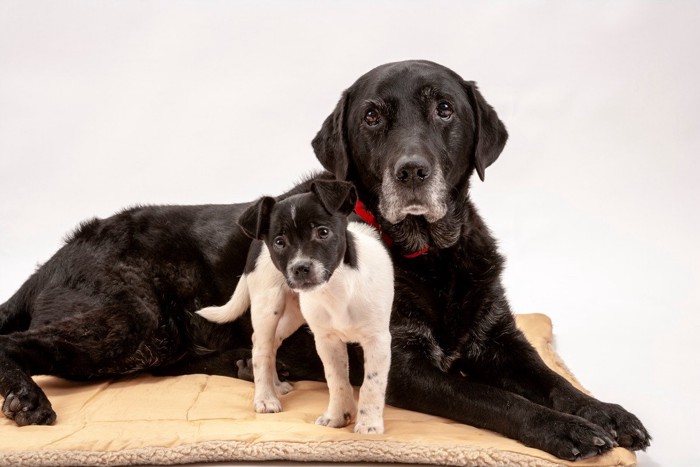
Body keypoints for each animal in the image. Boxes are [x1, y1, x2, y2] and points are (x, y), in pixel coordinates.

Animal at [197, 181, 394, 436]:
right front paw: (339, 416)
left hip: (293, 314)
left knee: (272, 343)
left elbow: (371, 383)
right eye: (280, 242)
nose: (300, 268)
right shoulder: (327, 341)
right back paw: (266, 397)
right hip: (267, 306)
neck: (337, 288)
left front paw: (366, 423)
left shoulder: (376, 340)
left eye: (323, 232)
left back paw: (276, 385)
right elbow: (337, 381)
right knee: (261, 348)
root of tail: (256, 241)